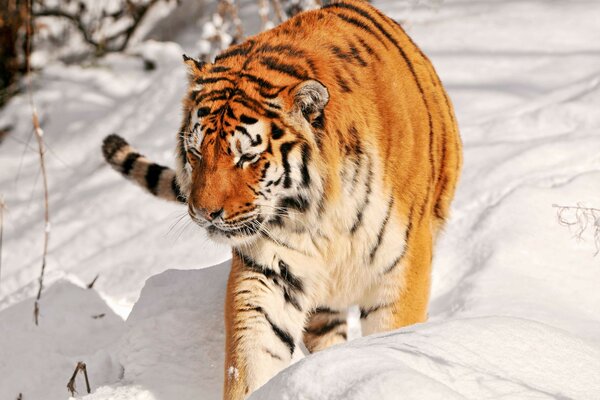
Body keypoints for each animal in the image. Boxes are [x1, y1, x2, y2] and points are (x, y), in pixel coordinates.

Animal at [102, 1, 460, 398]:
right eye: (195, 153)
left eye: (246, 157)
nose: (204, 213)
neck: (324, 212)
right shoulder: (270, 271)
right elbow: (253, 354)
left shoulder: (400, 271)